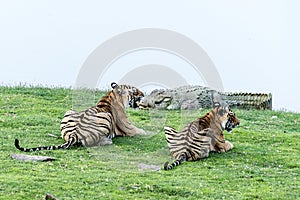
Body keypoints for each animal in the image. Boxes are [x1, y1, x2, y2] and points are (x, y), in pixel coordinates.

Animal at [14, 81, 146, 152]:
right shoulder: (129, 128)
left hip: (69, 111)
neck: (111, 96)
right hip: (105, 117)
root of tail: (74, 134)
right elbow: (143, 131)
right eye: (134, 90)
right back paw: (107, 141)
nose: (144, 94)